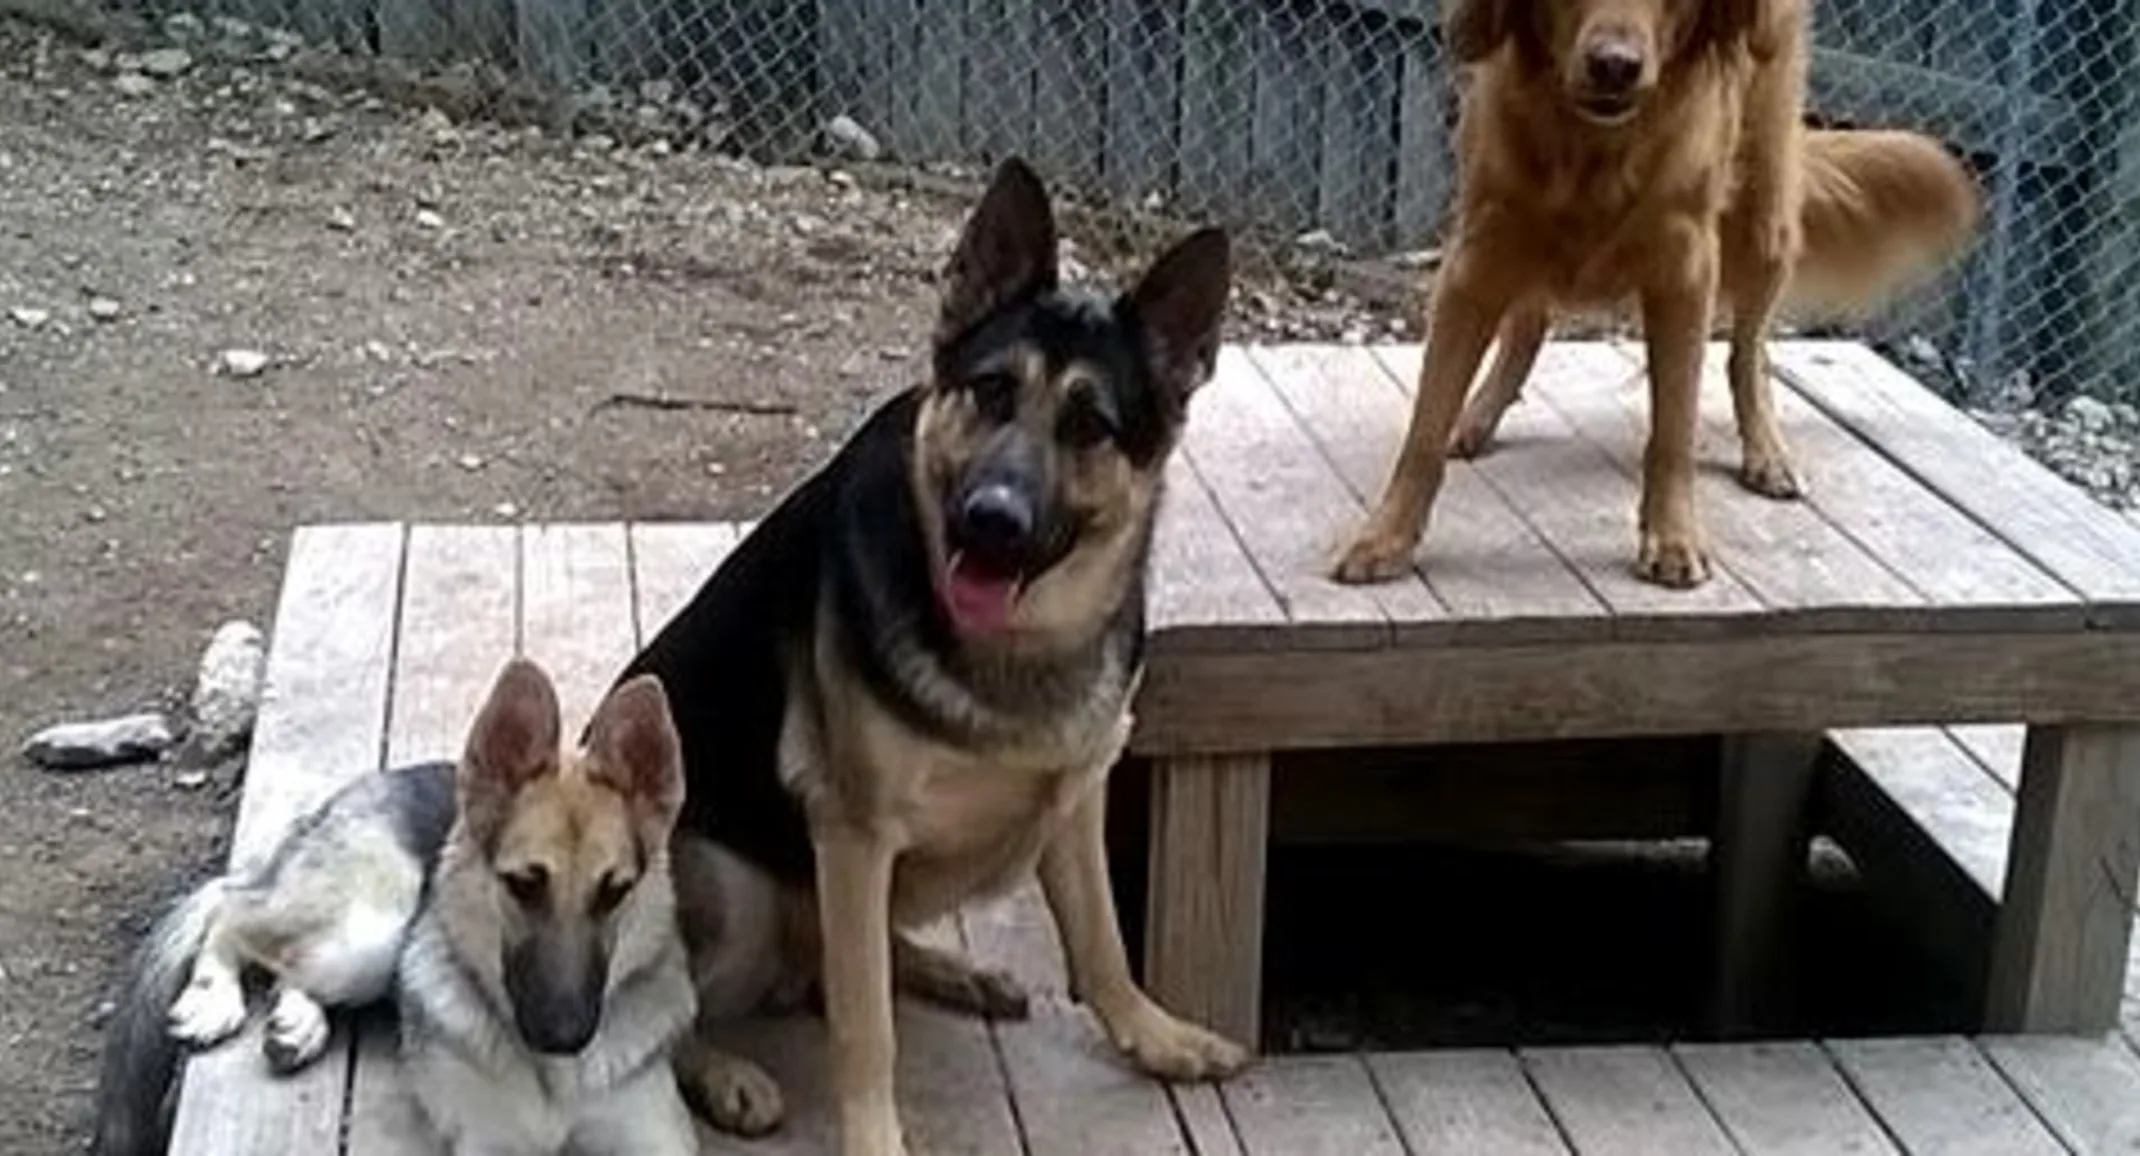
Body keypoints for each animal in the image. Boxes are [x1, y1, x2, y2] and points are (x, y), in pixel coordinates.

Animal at [92, 659, 693, 1156]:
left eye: (615, 891)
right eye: (523, 884)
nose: (563, 1037)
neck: (553, 1077)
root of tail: (375, 782)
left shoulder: (659, 1139)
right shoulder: (489, 1144)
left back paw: (298, 1023)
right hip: (370, 930)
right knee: (233, 912)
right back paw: (213, 995)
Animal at [616, 156, 1249, 1156]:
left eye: (1091, 426)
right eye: (990, 391)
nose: (991, 520)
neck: (1020, 646)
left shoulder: (1073, 799)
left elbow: (1103, 943)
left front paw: (1155, 1036)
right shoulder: (853, 833)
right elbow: (863, 1025)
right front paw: (875, 1136)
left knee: (846, 957)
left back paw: (954, 973)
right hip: (737, 889)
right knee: (668, 1012)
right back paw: (725, 1074)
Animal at [1335, 0, 1985, 586]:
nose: (1614, 66)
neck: (1592, 147)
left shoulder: (1685, 270)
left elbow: (1674, 427)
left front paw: (1674, 539)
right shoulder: (1478, 258)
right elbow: (1425, 426)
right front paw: (1385, 538)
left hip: (1764, 217)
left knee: (1750, 352)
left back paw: (1767, 453)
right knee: (1530, 323)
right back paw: (1478, 416)